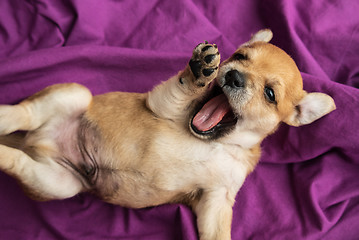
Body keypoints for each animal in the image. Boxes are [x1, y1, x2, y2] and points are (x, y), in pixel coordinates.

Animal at [0, 30, 334, 240]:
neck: (220, 143)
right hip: (75, 94)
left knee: (15, 161)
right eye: (240, 56)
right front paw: (200, 69)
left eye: (270, 94)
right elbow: (185, 86)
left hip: (57, 183)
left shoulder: (216, 200)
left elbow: (217, 232)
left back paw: (4, 150)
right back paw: (4, 116)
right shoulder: (163, 102)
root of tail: (36, 142)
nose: (234, 76)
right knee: (25, 113)